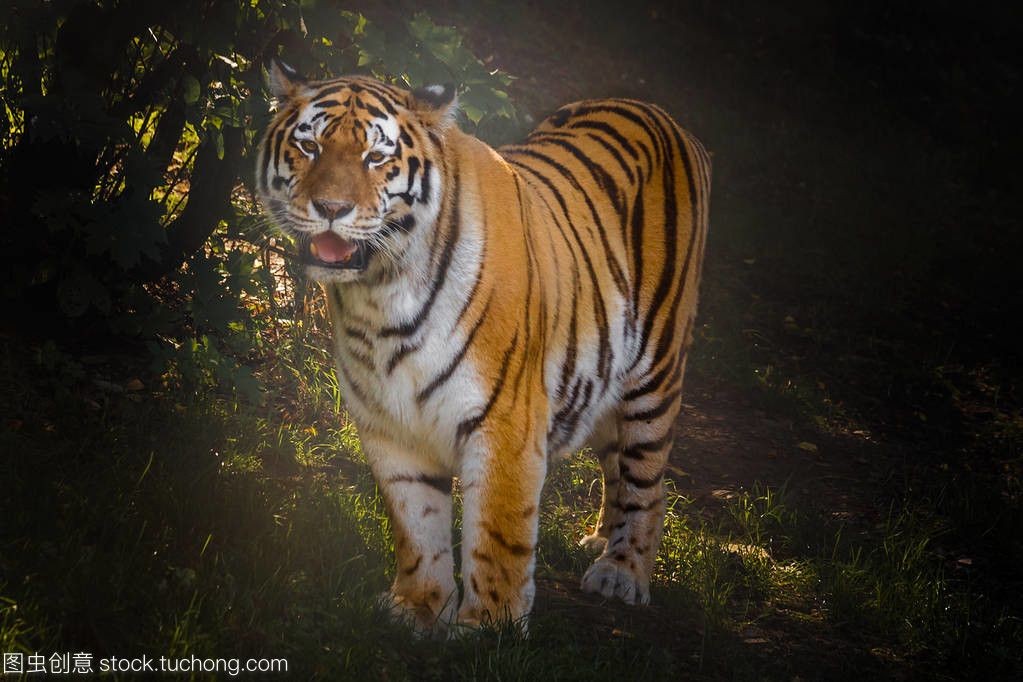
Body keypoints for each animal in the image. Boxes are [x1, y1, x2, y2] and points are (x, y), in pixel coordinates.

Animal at [256, 59, 710, 633]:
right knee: (618, 466)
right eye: (310, 146)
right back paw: (600, 540)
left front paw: (490, 628)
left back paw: (622, 572)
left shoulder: (505, 421)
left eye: (375, 157)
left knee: (648, 479)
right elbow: (417, 526)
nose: (331, 207)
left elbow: (498, 533)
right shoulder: (388, 425)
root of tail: (661, 114)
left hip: (653, 374)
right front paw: (419, 609)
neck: (379, 297)